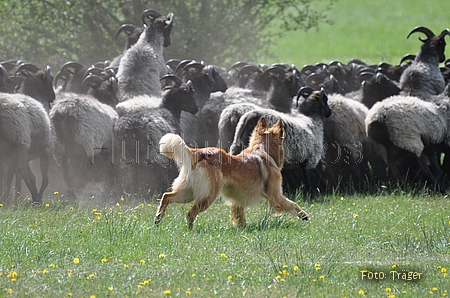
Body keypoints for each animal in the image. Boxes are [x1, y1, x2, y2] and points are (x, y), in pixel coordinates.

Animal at [156, 116, 310, 228]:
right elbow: (292, 204)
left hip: (188, 192)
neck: (261, 150)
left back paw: (158, 219)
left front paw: (242, 230)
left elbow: (240, 217)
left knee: (167, 196)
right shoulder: (275, 196)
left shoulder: (237, 201)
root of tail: (198, 153)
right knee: (190, 214)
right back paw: (190, 232)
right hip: (208, 195)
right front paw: (304, 216)